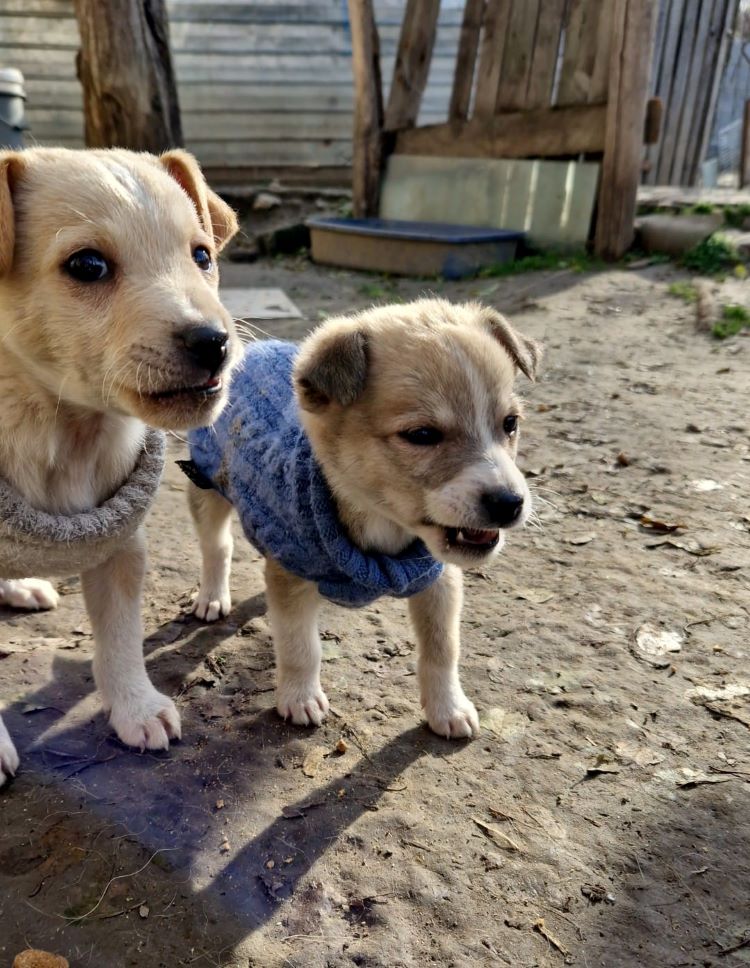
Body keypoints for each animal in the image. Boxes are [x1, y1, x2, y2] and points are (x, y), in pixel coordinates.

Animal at [0, 147, 241, 784]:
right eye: (87, 265)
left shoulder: (121, 543)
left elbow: (121, 636)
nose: (216, 342)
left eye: (202, 255)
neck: (65, 431)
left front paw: (136, 708)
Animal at [186, 298, 544, 736]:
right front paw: (300, 697)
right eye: (422, 435)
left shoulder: (438, 579)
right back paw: (212, 597)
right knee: (216, 547)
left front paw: (448, 707)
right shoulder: (293, 577)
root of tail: (252, 350)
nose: (510, 503)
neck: (381, 523)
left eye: (511, 424)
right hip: (206, 487)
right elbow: (299, 646)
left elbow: (443, 648)